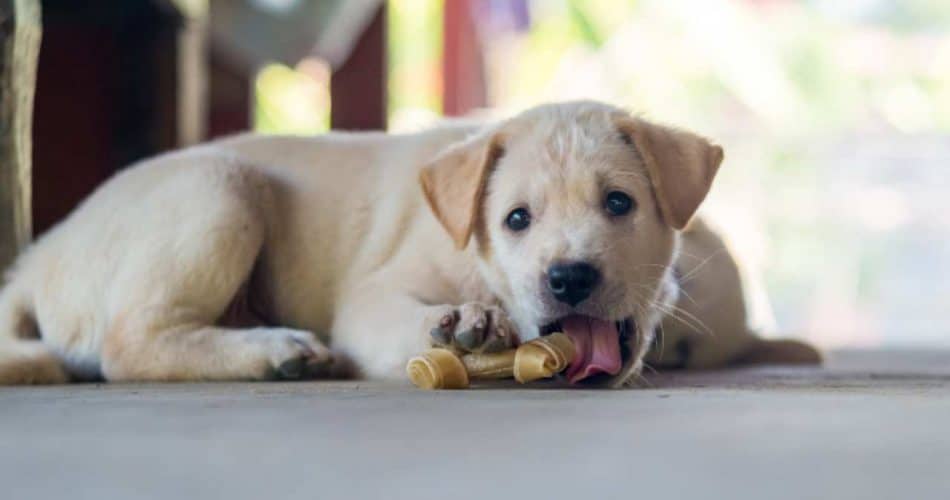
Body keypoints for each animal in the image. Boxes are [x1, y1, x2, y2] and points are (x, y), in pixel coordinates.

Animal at [0, 99, 820, 384]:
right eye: (515, 219)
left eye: (619, 203)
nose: (569, 279)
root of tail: (38, 257)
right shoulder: (371, 297)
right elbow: (406, 317)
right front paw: (462, 325)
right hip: (220, 188)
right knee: (129, 343)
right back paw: (274, 352)